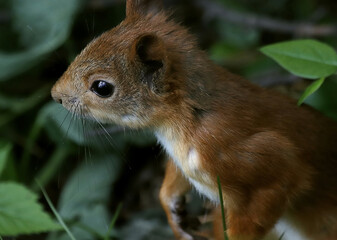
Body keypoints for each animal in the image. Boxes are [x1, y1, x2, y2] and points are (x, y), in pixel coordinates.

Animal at [50, 0, 336, 240]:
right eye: (90, 43)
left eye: (102, 87)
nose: (55, 95)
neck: (184, 120)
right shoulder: (180, 158)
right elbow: (172, 182)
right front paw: (173, 212)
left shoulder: (256, 159)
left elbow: (271, 195)